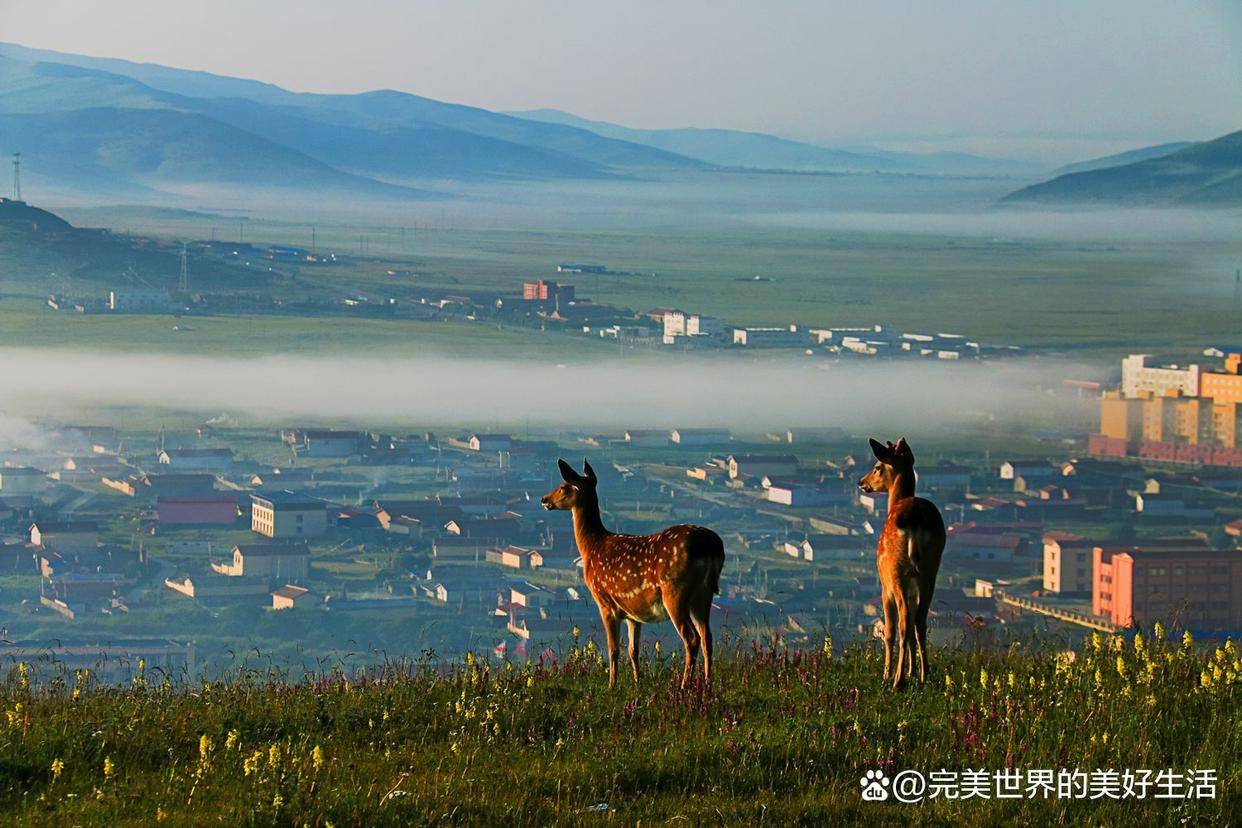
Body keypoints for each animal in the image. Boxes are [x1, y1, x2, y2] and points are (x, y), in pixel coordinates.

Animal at [539, 459, 725, 695]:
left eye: (563, 486)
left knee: (692, 638)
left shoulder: (605, 602)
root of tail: (711, 546)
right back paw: (707, 685)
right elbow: (632, 650)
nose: (544, 499)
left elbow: (613, 649)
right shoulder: (632, 613)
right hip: (704, 595)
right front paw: (638, 684)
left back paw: (684, 687)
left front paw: (611, 686)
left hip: (674, 591)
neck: (591, 547)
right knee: (707, 638)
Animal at [859, 436, 943, 690]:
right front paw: (913, 671)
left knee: (904, 622)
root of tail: (915, 521)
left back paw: (897, 681)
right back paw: (924, 675)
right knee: (920, 621)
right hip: (930, 570)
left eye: (877, 467)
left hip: (896, 572)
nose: (861, 482)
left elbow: (888, 631)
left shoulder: (884, 584)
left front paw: (887, 673)